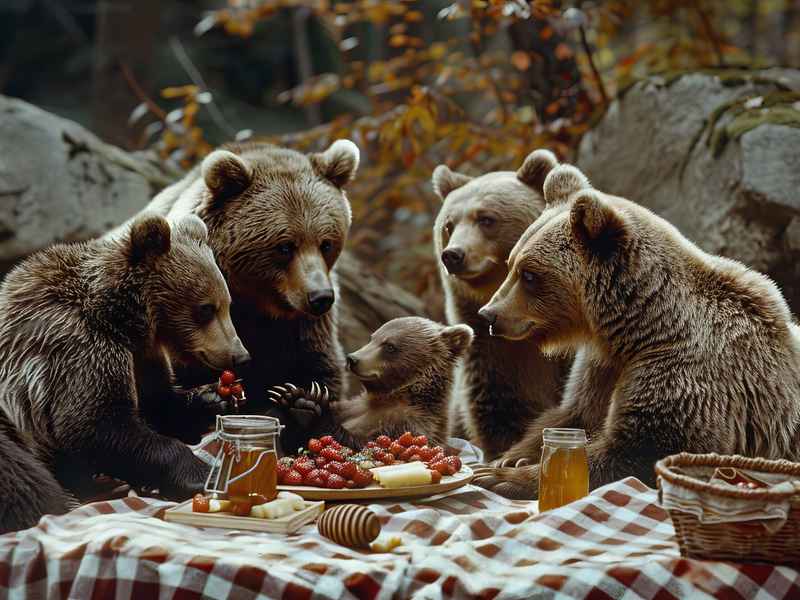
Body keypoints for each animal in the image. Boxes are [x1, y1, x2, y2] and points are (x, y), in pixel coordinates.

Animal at [0, 212, 248, 512]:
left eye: (227, 304)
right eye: (206, 309)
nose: (240, 355)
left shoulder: (142, 356)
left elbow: (157, 402)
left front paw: (212, 398)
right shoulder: (76, 346)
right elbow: (96, 424)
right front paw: (198, 474)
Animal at [109, 140, 359, 449]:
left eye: (326, 243)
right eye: (285, 246)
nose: (320, 297)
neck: (254, 303)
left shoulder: (304, 329)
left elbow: (320, 373)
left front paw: (304, 403)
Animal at [472, 161, 800, 499]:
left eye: (529, 275)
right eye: (511, 264)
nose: (490, 315)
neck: (637, 328)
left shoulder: (686, 373)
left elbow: (638, 451)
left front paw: (502, 476)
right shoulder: (602, 366)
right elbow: (575, 412)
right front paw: (510, 458)